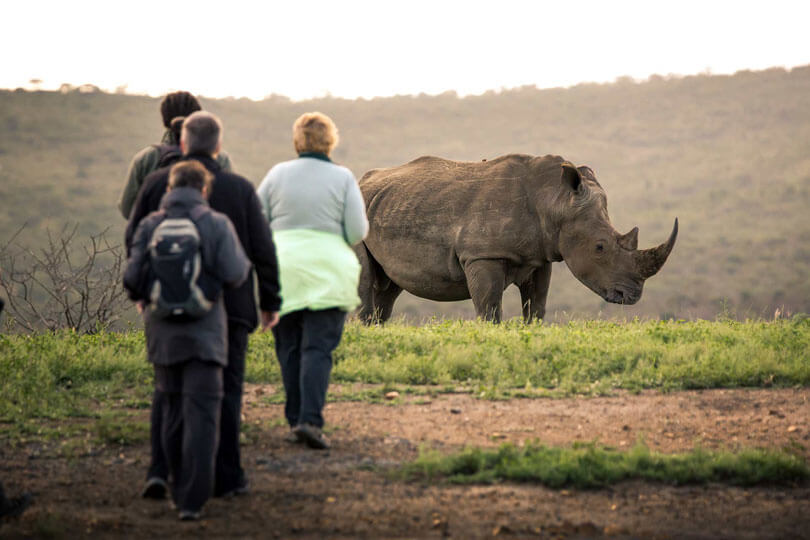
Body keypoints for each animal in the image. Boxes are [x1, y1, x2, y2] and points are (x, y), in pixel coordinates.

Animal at [356, 154, 677, 323]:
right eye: (600, 247)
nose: (631, 296)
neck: (554, 199)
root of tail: (362, 181)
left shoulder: (540, 257)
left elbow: (536, 305)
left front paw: (531, 331)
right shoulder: (482, 255)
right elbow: (489, 307)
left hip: (388, 204)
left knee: (389, 285)